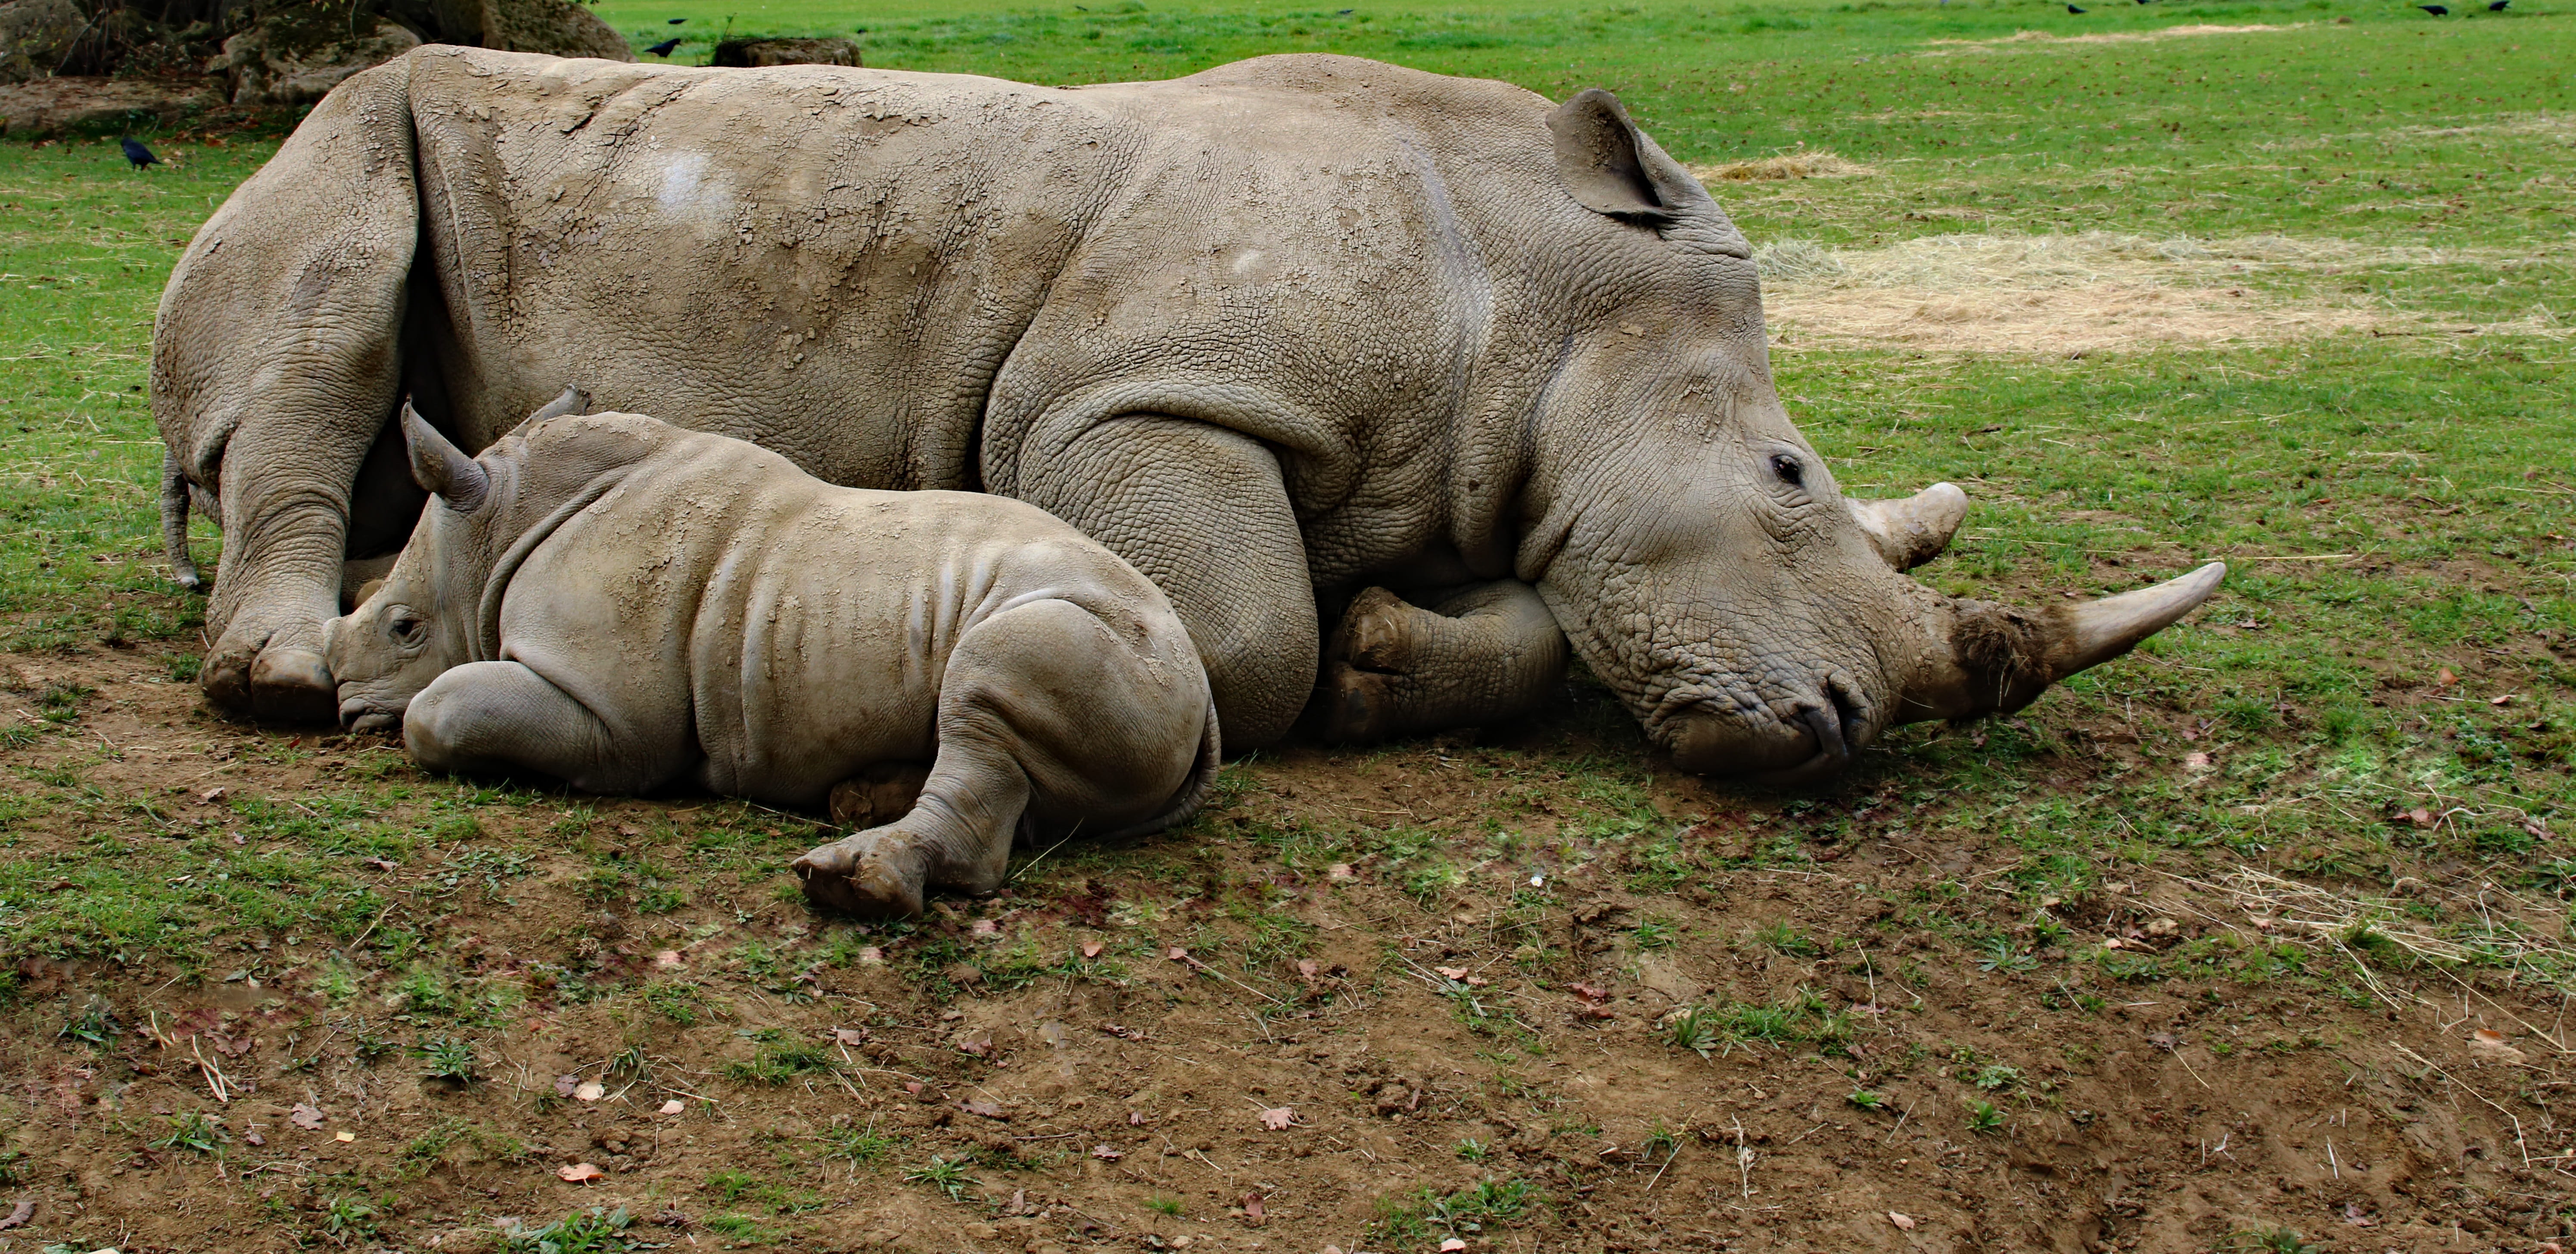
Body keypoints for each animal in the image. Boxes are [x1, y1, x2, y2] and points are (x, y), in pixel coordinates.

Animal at [158, 46, 2224, 783]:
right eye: (1789, 472)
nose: (1837, 731)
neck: (1536, 287)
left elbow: (1517, 616)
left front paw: (1397, 655)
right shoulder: (1126, 399)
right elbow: (1244, 634)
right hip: (342, 136)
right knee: (323, 305)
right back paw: (280, 673)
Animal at [323, 394, 1219, 916]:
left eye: (405, 628)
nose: (343, 706)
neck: (505, 521)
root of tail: (1204, 686)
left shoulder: (616, 718)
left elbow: (441, 707)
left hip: (1107, 637)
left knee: (990, 683)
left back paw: (847, 883)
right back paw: (860, 801)